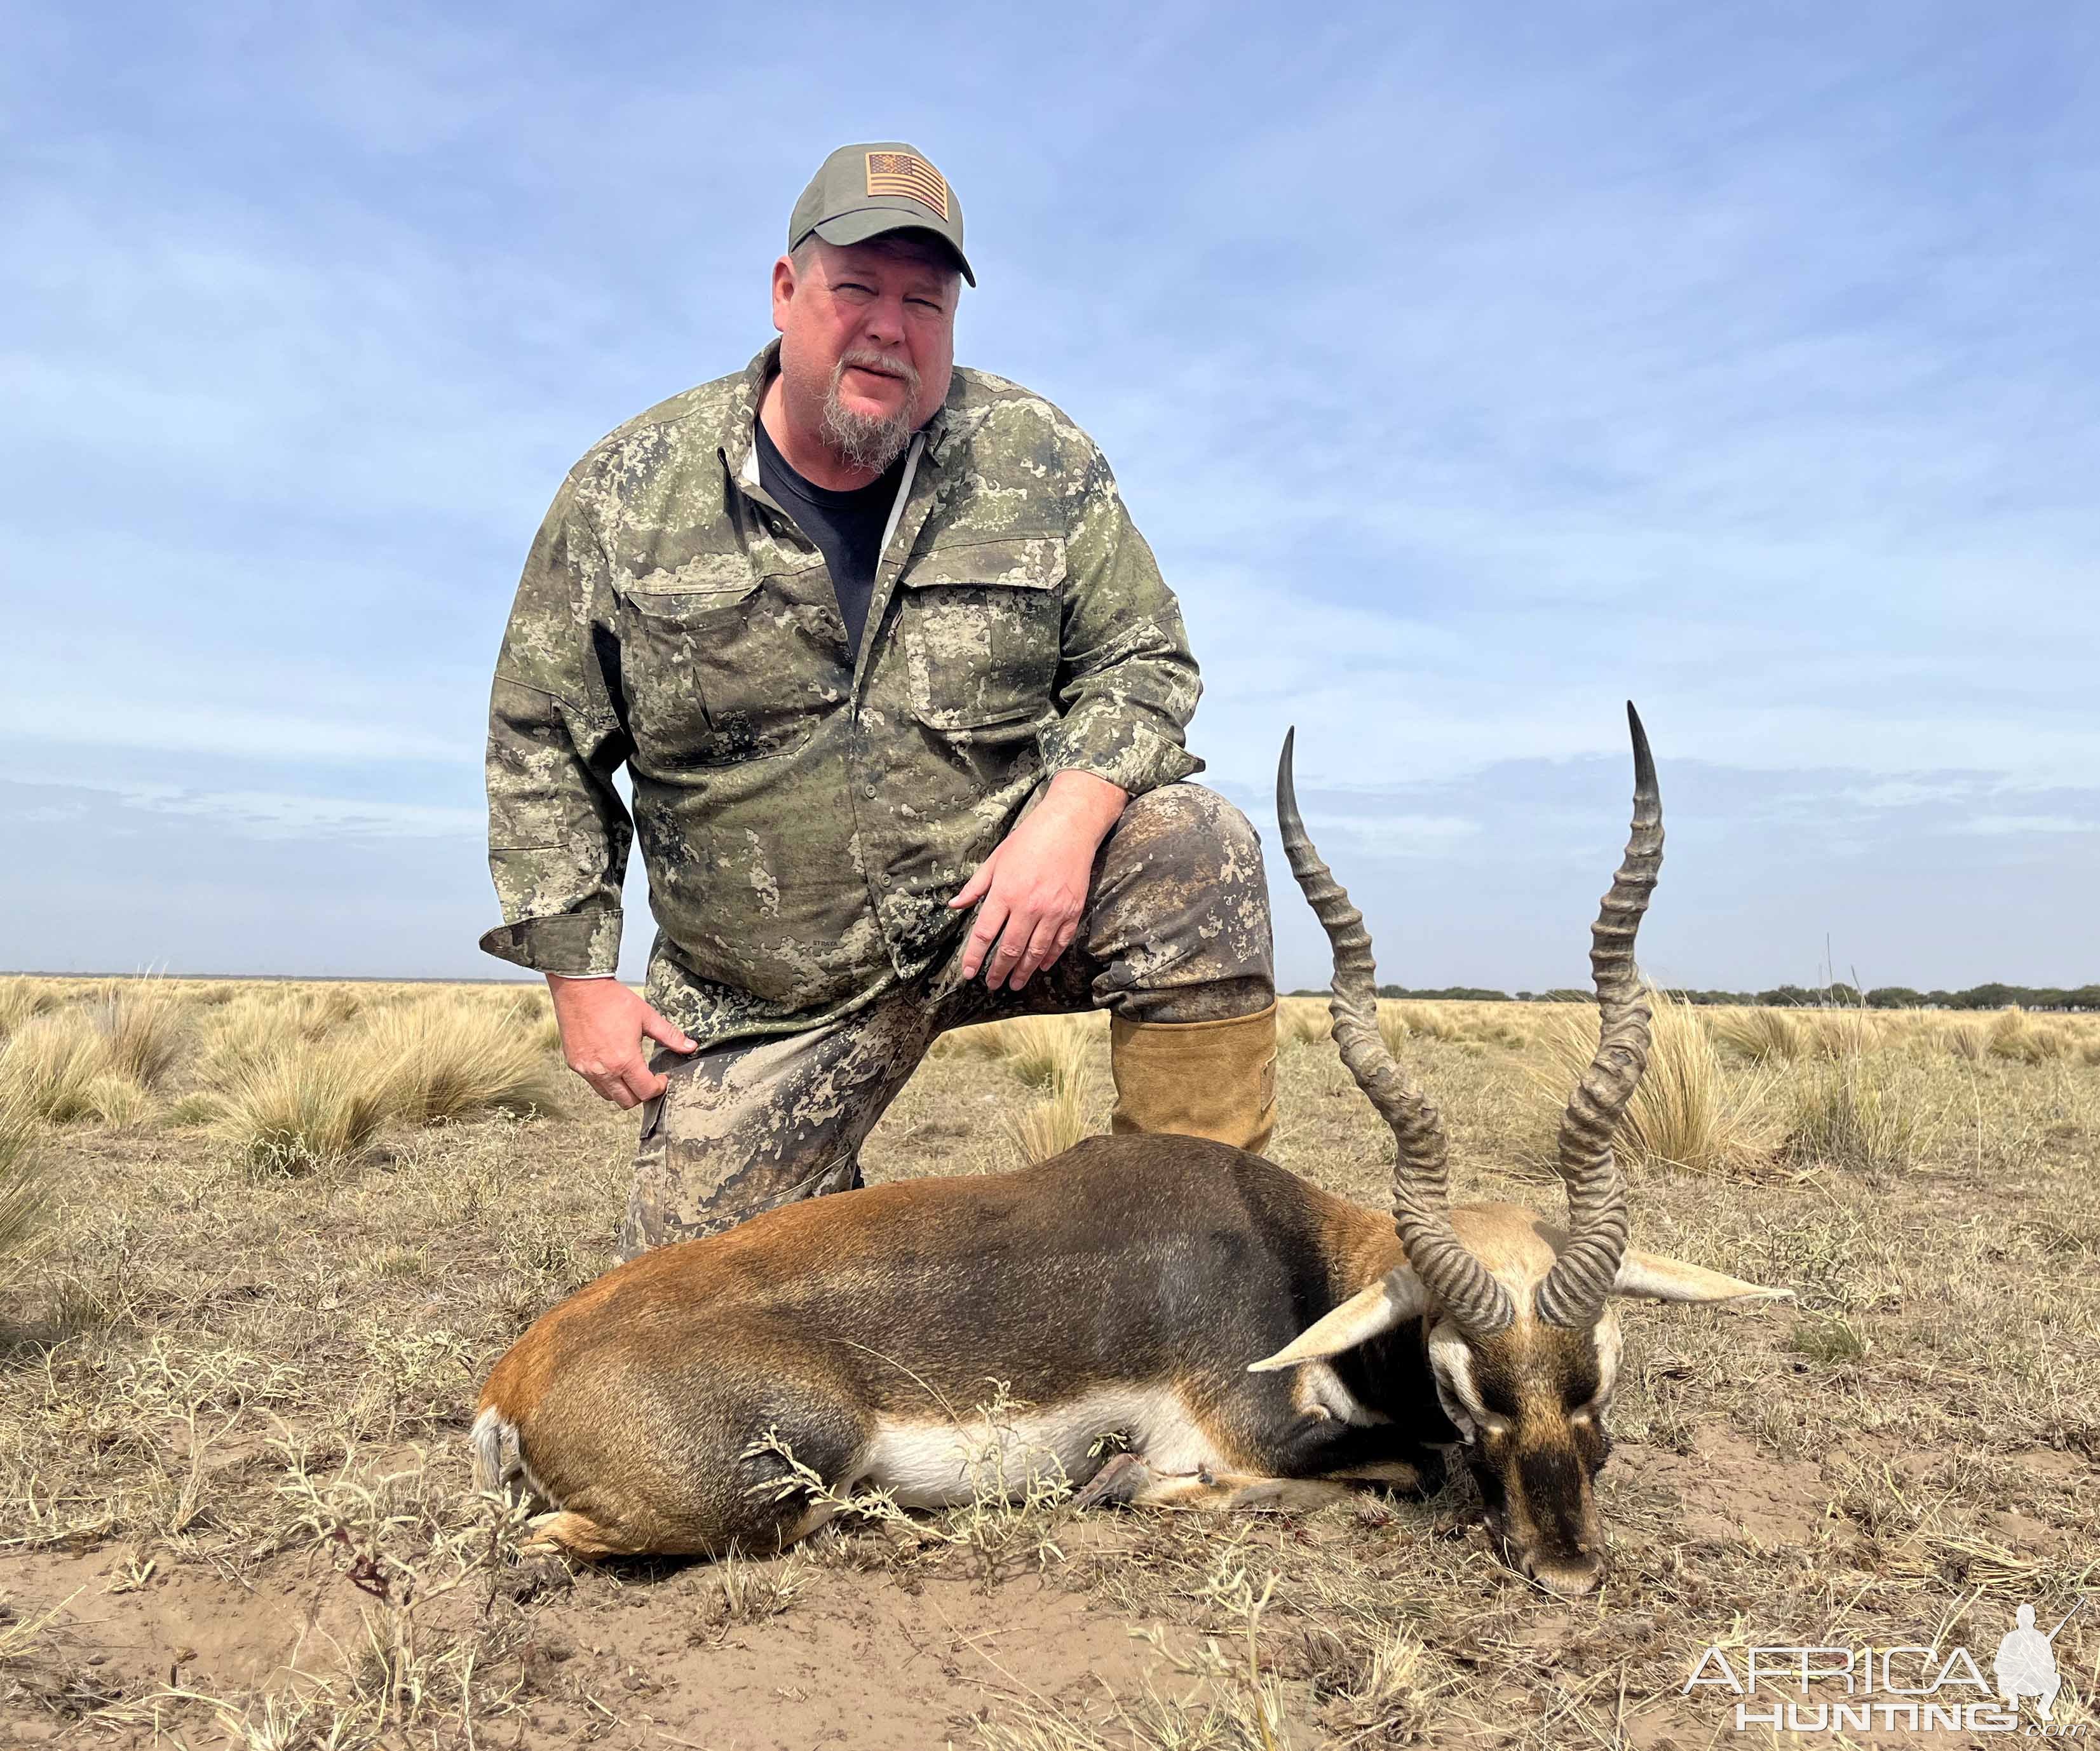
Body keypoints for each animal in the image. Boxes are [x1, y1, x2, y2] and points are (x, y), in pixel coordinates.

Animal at [477, 701, 1789, 1587]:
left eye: (1601, 1366)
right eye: (1465, 1378)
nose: (1565, 1564)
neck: (1295, 1257)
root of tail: (517, 1372)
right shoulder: (1260, 1430)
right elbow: (1392, 1469)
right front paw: (1143, 1488)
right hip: (783, 1469)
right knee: (577, 1537)